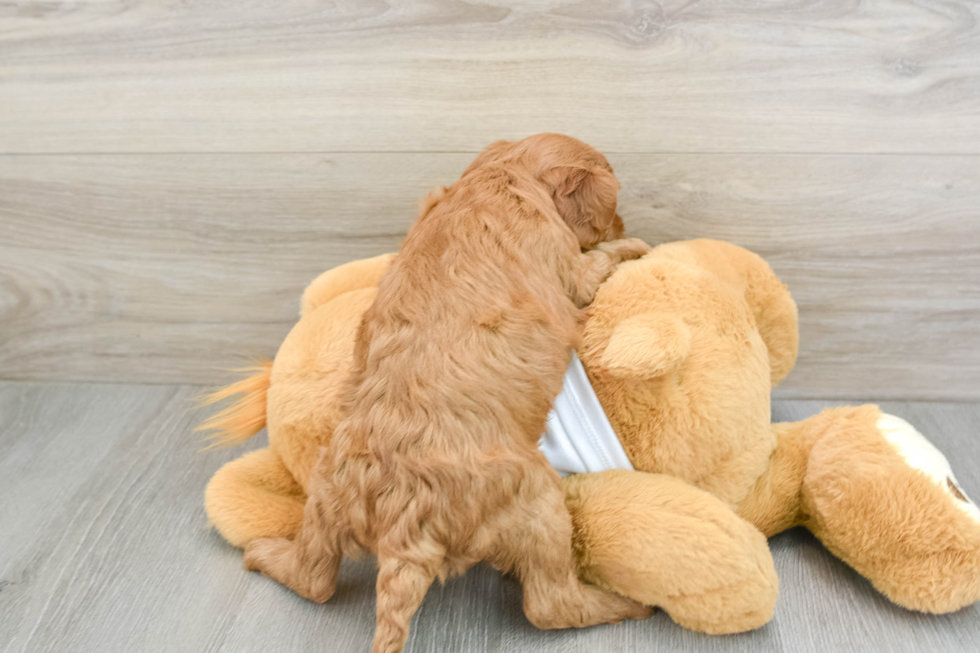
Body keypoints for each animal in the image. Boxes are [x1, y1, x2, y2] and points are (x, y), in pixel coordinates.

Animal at [243, 134, 652, 652]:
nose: (625, 224)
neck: (502, 176)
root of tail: (401, 531)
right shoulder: (568, 265)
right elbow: (597, 264)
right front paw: (635, 245)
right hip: (537, 500)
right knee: (551, 605)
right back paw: (624, 604)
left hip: (325, 491)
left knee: (313, 578)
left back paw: (263, 553)